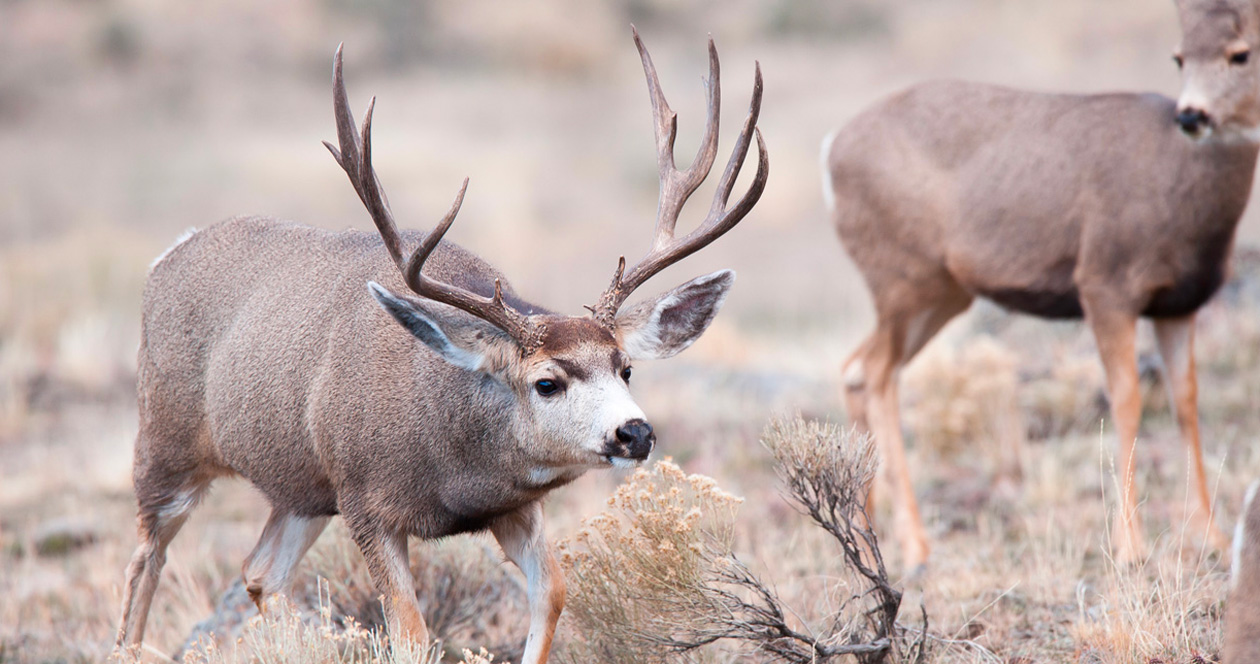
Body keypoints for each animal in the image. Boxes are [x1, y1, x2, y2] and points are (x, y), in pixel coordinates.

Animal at [113, 31, 766, 663]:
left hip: (301, 488)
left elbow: (552, 594)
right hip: (165, 440)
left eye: (626, 367)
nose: (635, 433)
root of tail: (169, 252)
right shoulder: (365, 500)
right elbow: (410, 632)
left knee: (259, 571)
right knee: (145, 562)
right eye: (546, 382)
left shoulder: (512, 506)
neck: (453, 460)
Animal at [821, 0, 1259, 573]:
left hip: (940, 293)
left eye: (1240, 53)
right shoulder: (1105, 284)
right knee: (875, 374)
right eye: (1180, 56)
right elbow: (1126, 400)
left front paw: (1211, 538)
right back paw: (916, 546)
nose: (1192, 116)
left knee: (856, 368)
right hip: (901, 275)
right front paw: (1130, 547)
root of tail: (831, 150)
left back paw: (864, 532)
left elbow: (1186, 401)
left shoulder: (1179, 303)